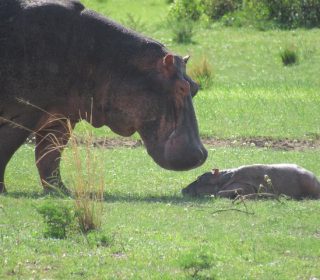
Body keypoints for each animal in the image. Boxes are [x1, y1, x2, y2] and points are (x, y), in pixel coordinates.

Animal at [0, 0, 208, 192]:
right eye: (181, 87)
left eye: (195, 86)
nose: (202, 155)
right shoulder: (23, 113)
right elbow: (7, 148)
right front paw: (3, 191)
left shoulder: (60, 117)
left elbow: (50, 154)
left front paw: (61, 191)